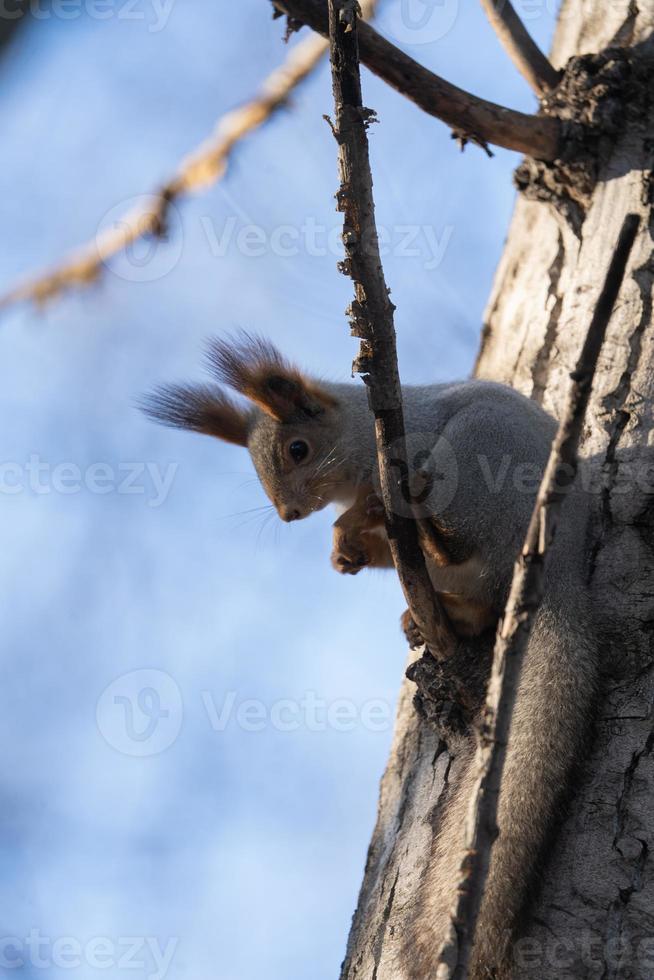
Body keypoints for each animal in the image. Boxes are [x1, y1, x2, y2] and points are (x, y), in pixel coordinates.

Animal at [146, 334, 604, 976]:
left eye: (298, 449)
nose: (289, 514)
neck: (362, 444)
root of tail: (559, 576)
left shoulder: (405, 446)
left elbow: (368, 506)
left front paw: (347, 527)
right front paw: (343, 552)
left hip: (478, 466)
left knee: (462, 539)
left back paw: (432, 532)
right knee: (474, 599)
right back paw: (424, 613)